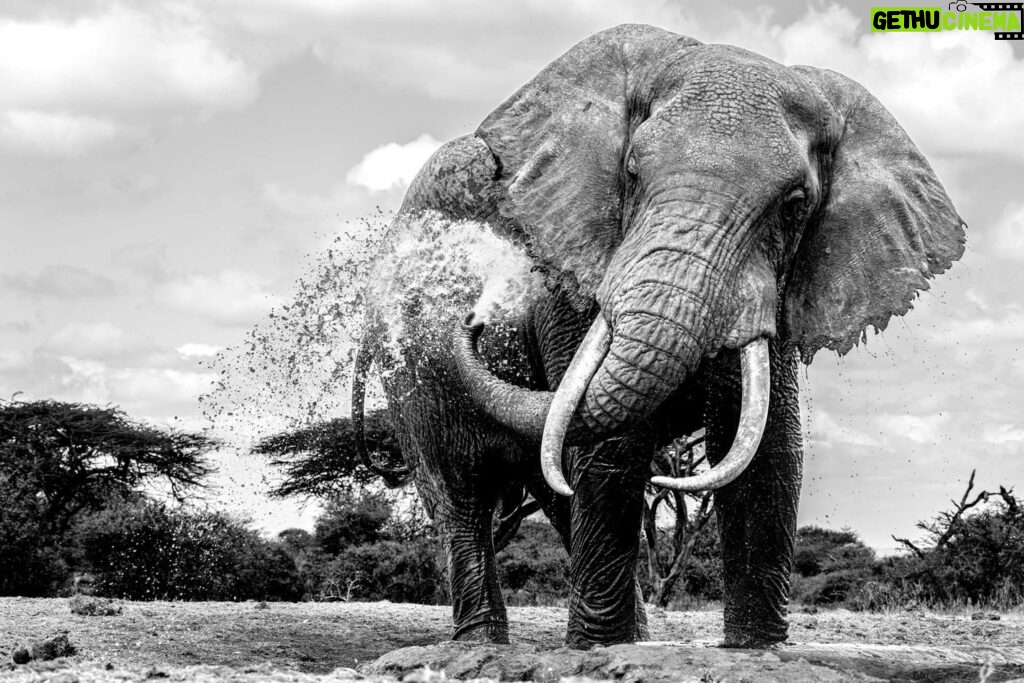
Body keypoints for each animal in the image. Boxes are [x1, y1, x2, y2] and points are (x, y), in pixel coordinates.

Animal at [350, 24, 958, 651]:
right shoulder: (572, 268)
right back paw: (484, 643)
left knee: (553, 485)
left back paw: (628, 634)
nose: (475, 316)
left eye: (795, 206)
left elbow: (762, 446)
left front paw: (756, 647)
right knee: (458, 492)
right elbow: (611, 447)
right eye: (632, 173)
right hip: (410, 368)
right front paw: (599, 650)